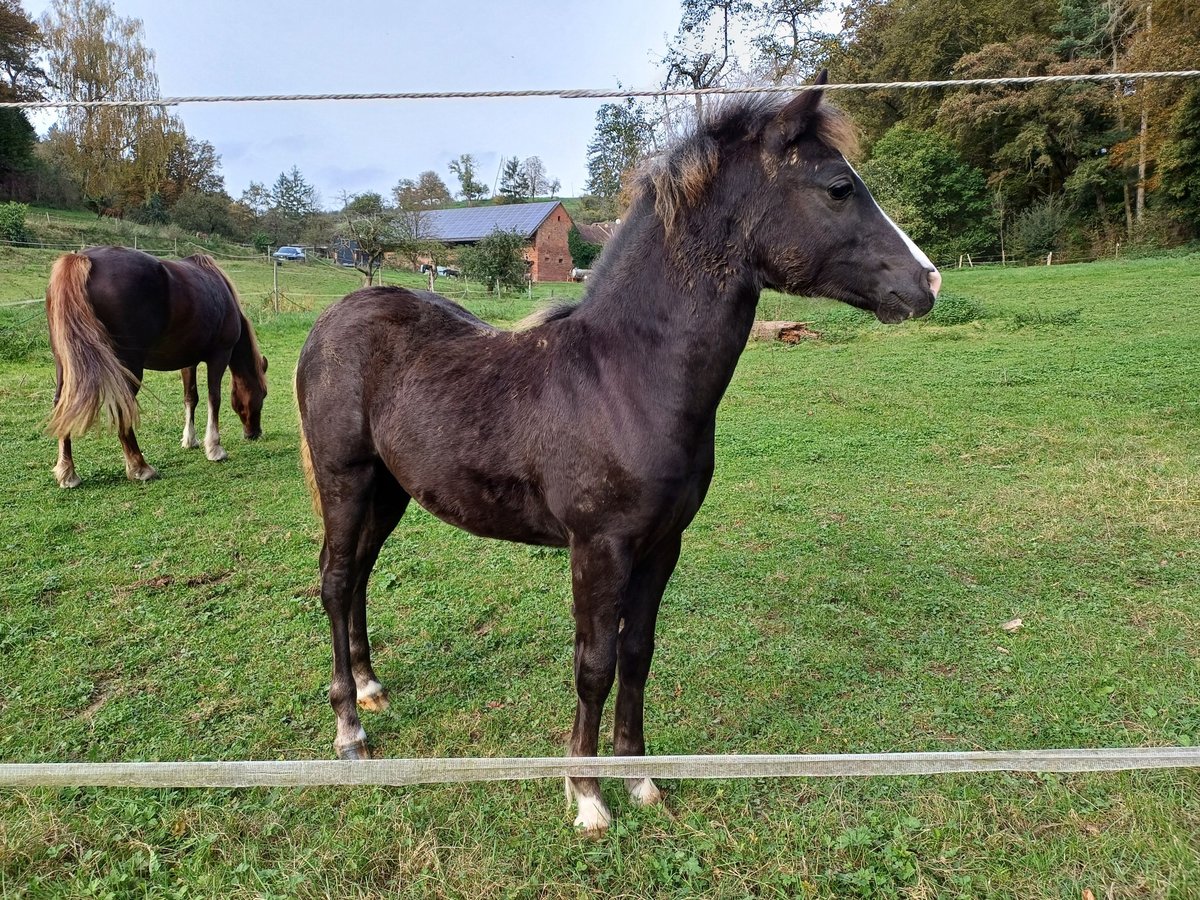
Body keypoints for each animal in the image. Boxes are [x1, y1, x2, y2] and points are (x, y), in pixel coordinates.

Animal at [45, 244, 268, 487]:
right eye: (263, 394)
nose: (254, 433)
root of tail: (83, 259)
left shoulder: (188, 362)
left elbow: (191, 398)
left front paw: (190, 440)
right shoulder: (219, 355)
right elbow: (214, 398)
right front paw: (214, 448)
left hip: (66, 366)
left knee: (62, 405)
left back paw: (68, 472)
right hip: (128, 368)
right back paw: (140, 468)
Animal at [290, 74, 936, 835]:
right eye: (839, 187)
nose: (928, 283)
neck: (625, 377)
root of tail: (330, 321)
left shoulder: (662, 543)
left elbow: (638, 652)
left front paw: (641, 779)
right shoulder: (597, 546)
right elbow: (594, 663)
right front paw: (587, 793)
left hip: (390, 490)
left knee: (360, 574)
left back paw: (371, 688)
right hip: (347, 479)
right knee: (335, 580)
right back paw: (350, 730)